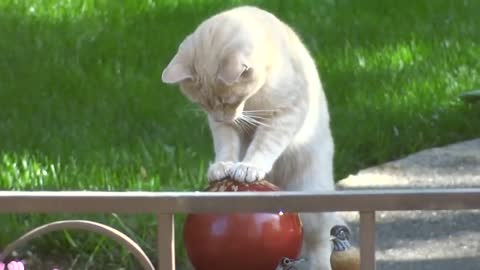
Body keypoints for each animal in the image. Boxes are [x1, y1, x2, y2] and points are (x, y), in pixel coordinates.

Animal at [163, 5, 344, 268]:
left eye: (228, 100)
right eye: (204, 103)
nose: (221, 117)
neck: (252, 102)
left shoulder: (284, 114)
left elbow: (264, 145)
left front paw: (249, 167)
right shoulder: (225, 128)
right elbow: (226, 147)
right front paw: (223, 166)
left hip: (313, 205)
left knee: (319, 244)